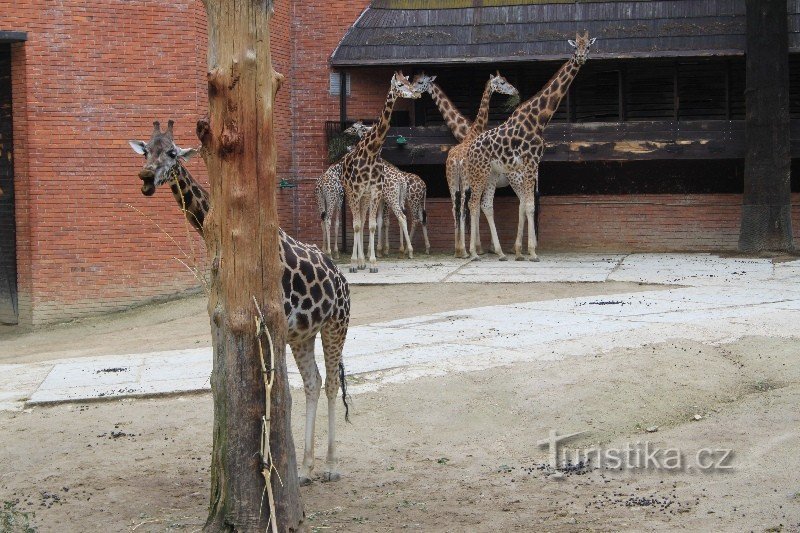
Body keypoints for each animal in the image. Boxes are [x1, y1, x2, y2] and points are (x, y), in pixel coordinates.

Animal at [130, 120, 350, 486]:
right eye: (146, 149)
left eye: (173, 153)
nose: (146, 178)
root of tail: (342, 278)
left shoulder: (273, 322)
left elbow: (272, 391)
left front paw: (269, 471)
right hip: (304, 335)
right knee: (314, 382)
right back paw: (306, 468)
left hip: (337, 325)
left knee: (332, 382)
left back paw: (332, 465)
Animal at [316, 121, 372, 258]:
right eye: (354, 126)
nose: (345, 131)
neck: (338, 169)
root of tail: (321, 186)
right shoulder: (340, 199)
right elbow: (337, 223)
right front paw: (336, 251)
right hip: (331, 199)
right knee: (328, 220)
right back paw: (330, 253)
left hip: (320, 200)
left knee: (322, 221)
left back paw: (324, 250)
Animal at [340, 70, 422, 272]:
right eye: (399, 85)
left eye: (408, 81)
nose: (416, 93)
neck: (371, 153)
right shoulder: (356, 191)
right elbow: (357, 225)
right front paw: (354, 263)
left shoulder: (375, 191)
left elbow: (371, 225)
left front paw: (372, 263)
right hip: (351, 193)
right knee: (358, 222)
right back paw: (357, 262)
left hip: (367, 197)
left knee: (370, 220)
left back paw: (365, 261)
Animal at [444, 71, 520, 258]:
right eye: (502, 82)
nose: (515, 91)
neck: (473, 132)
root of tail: (455, 160)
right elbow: (477, 208)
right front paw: (479, 248)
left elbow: (477, 208)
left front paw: (478, 247)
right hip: (465, 182)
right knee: (463, 208)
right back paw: (465, 251)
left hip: (452, 182)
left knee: (455, 208)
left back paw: (458, 250)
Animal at [462, 30, 592, 260]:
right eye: (575, 46)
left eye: (589, 46)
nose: (581, 57)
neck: (540, 119)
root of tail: (469, 150)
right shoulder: (530, 161)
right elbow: (530, 206)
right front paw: (531, 251)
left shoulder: (534, 164)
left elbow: (527, 204)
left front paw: (522, 250)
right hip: (480, 173)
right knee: (473, 203)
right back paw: (474, 253)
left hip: (491, 175)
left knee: (483, 204)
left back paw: (496, 252)